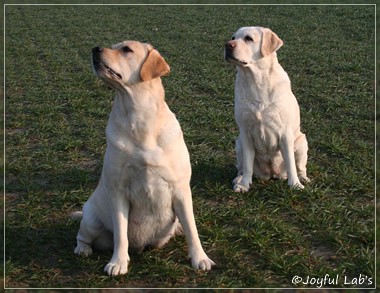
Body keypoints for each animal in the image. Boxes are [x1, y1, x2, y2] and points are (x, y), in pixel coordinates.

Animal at [74, 40, 215, 274]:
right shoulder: (119, 191)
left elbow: (192, 229)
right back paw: (82, 249)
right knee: (82, 235)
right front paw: (118, 262)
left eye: (126, 49)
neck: (139, 119)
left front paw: (200, 258)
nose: (95, 49)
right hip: (91, 219)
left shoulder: (181, 189)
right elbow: (121, 235)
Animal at [224, 26, 310, 192]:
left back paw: (303, 178)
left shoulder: (285, 132)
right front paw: (244, 185)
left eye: (248, 38)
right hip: (238, 143)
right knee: (242, 167)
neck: (256, 81)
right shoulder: (245, 132)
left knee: (300, 166)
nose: (227, 45)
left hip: (301, 142)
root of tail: (272, 174)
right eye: (233, 37)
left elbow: (291, 163)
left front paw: (295, 184)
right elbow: (248, 165)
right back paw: (239, 179)